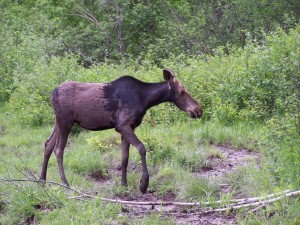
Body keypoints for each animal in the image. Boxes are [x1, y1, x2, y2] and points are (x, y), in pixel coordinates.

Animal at [39, 69, 202, 193]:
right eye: (182, 91)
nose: (198, 109)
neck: (145, 100)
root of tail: (52, 94)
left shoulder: (127, 128)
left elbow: (124, 158)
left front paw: (124, 184)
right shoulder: (123, 125)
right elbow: (142, 148)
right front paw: (143, 184)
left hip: (58, 122)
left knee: (48, 144)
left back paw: (42, 180)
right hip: (65, 122)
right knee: (58, 150)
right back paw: (65, 183)